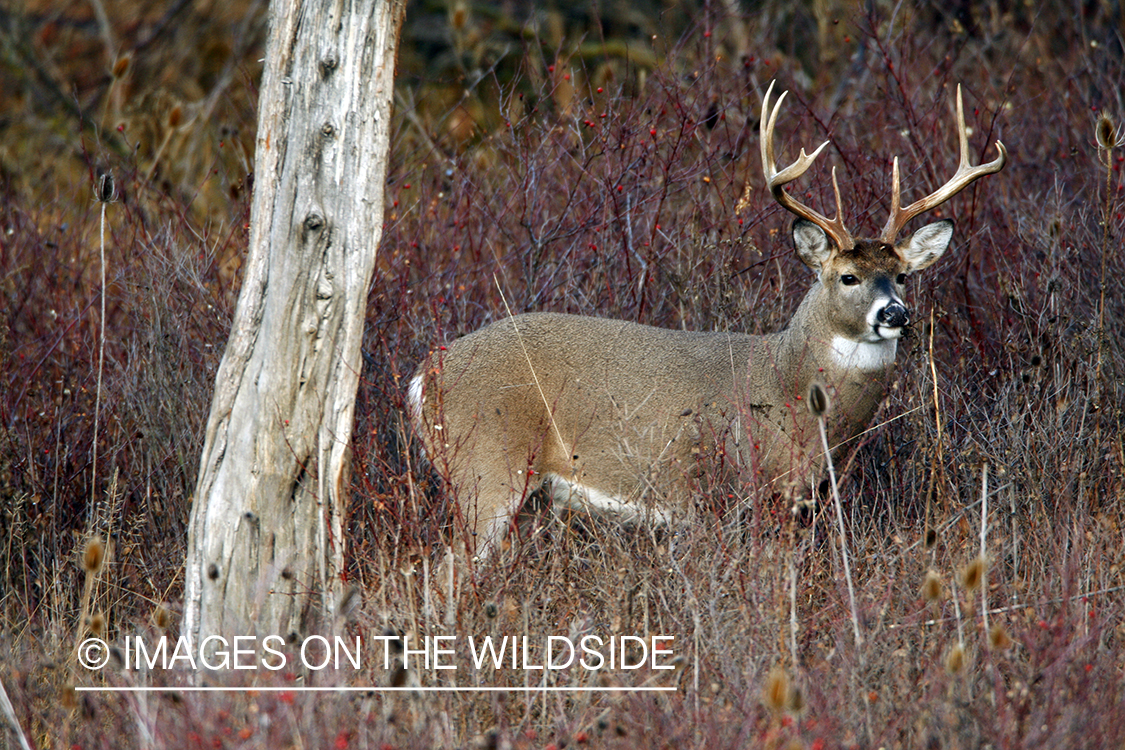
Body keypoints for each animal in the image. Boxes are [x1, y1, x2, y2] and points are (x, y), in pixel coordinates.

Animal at [409, 83, 1008, 562]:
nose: (895, 314)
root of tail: (423, 377)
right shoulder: (731, 492)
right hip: (486, 468)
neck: (791, 387)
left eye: (903, 276)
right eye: (847, 277)